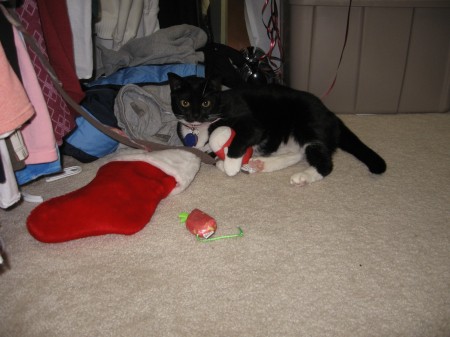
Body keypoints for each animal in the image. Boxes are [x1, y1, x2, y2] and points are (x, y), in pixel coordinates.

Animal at [167, 72, 384, 185]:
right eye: (185, 102)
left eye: (206, 103)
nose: (195, 116)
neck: (201, 129)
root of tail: (331, 114)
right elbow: (209, 152)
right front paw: (224, 162)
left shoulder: (250, 122)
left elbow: (239, 139)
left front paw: (231, 165)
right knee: (297, 154)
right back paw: (259, 164)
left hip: (308, 125)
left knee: (323, 161)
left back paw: (303, 176)